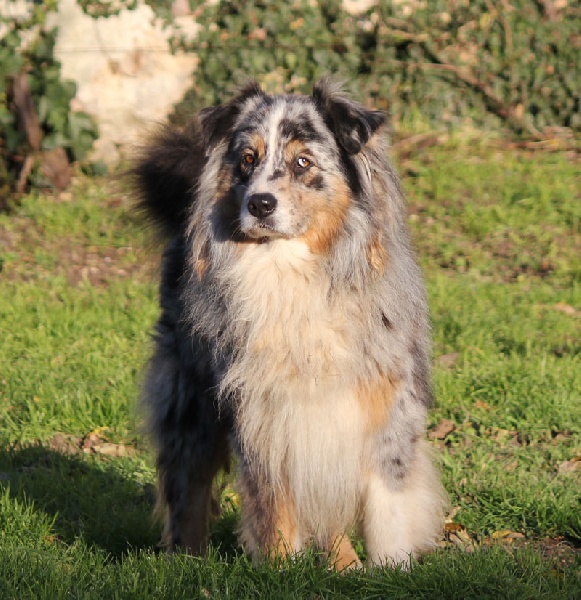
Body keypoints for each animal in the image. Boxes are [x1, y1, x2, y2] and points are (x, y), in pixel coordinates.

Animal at [134, 78, 446, 568]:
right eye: (247, 158)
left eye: (303, 162)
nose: (260, 203)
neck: (289, 270)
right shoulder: (261, 412)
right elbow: (275, 503)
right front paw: (281, 570)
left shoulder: (385, 402)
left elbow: (386, 504)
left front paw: (389, 569)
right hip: (190, 395)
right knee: (187, 482)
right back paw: (187, 560)